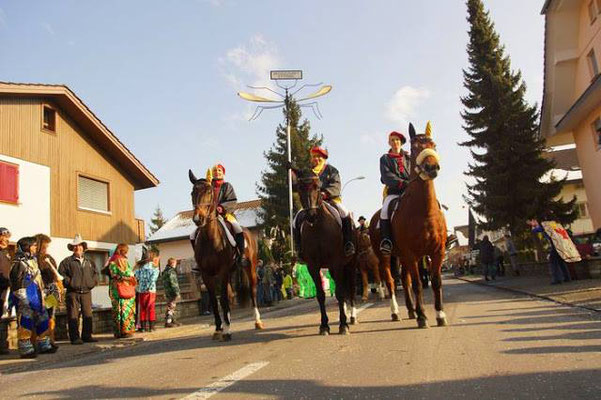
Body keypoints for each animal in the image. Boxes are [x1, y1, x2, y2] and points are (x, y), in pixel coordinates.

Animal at [188, 169, 262, 340]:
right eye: (192, 192)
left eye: (209, 192)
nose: (198, 219)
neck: (210, 238)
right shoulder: (207, 274)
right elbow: (215, 301)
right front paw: (218, 328)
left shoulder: (222, 271)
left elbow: (222, 299)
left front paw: (226, 330)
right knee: (229, 296)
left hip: (250, 269)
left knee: (253, 291)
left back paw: (257, 321)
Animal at [294, 170, 358, 334]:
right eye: (299, 188)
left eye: (317, 187)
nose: (311, 215)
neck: (318, 228)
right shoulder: (313, 266)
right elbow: (321, 295)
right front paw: (324, 325)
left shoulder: (337, 262)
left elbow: (341, 293)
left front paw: (343, 324)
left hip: (350, 265)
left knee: (351, 289)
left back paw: (352, 317)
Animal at [368, 122, 448, 328]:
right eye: (414, 148)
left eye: (433, 145)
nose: (431, 166)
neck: (423, 212)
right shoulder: (412, 255)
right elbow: (418, 284)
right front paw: (423, 317)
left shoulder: (437, 252)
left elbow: (436, 281)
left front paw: (439, 314)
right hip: (385, 257)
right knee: (390, 282)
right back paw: (396, 312)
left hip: (402, 257)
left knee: (404, 280)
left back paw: (411, 310)